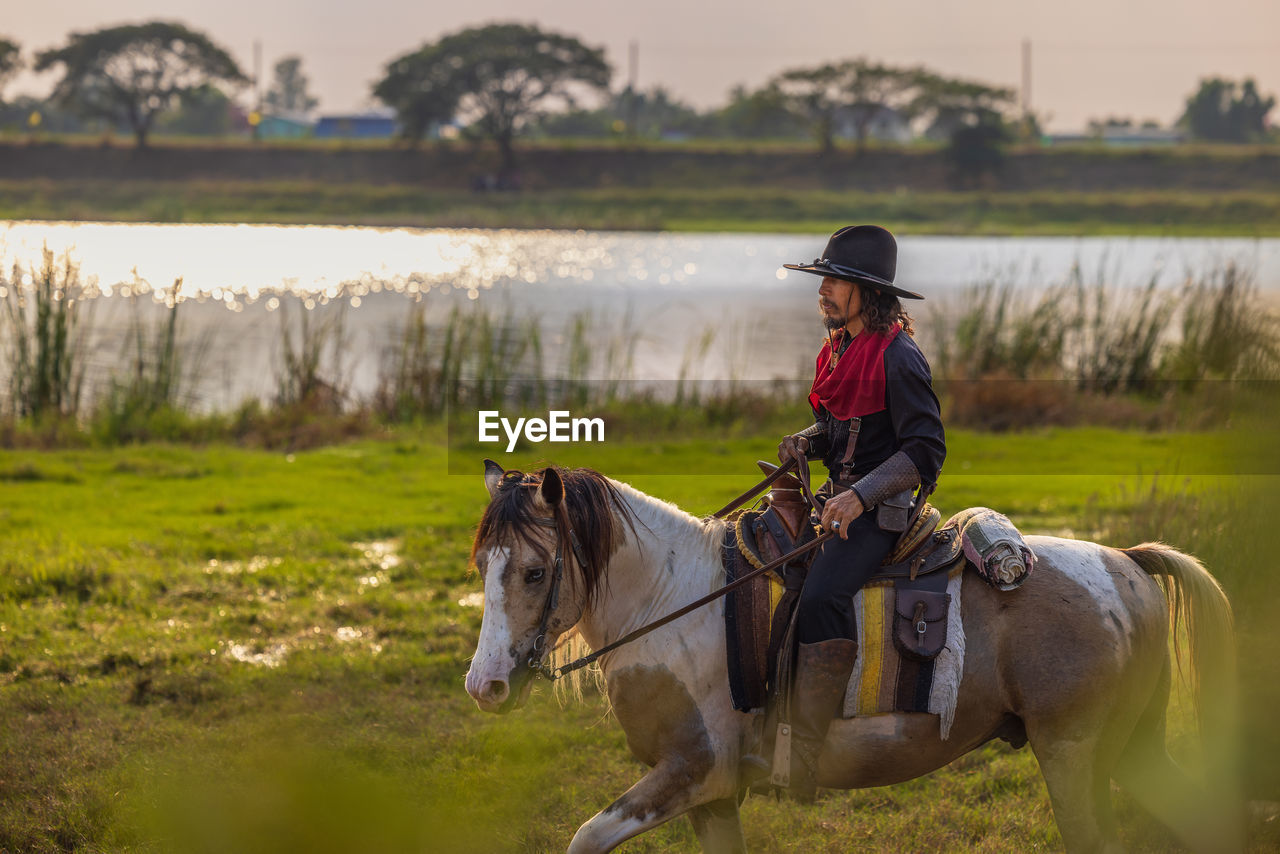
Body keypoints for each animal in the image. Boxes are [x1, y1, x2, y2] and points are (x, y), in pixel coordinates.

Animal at [465, 468, 1233, 854]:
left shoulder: (691, 770)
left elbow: (585, 838)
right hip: (1130, 746)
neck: (673, 599)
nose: (485, 685)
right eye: (482, 565)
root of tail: (1125, 564)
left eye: (534, 571)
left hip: (1072, 750)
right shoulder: (713, 797)